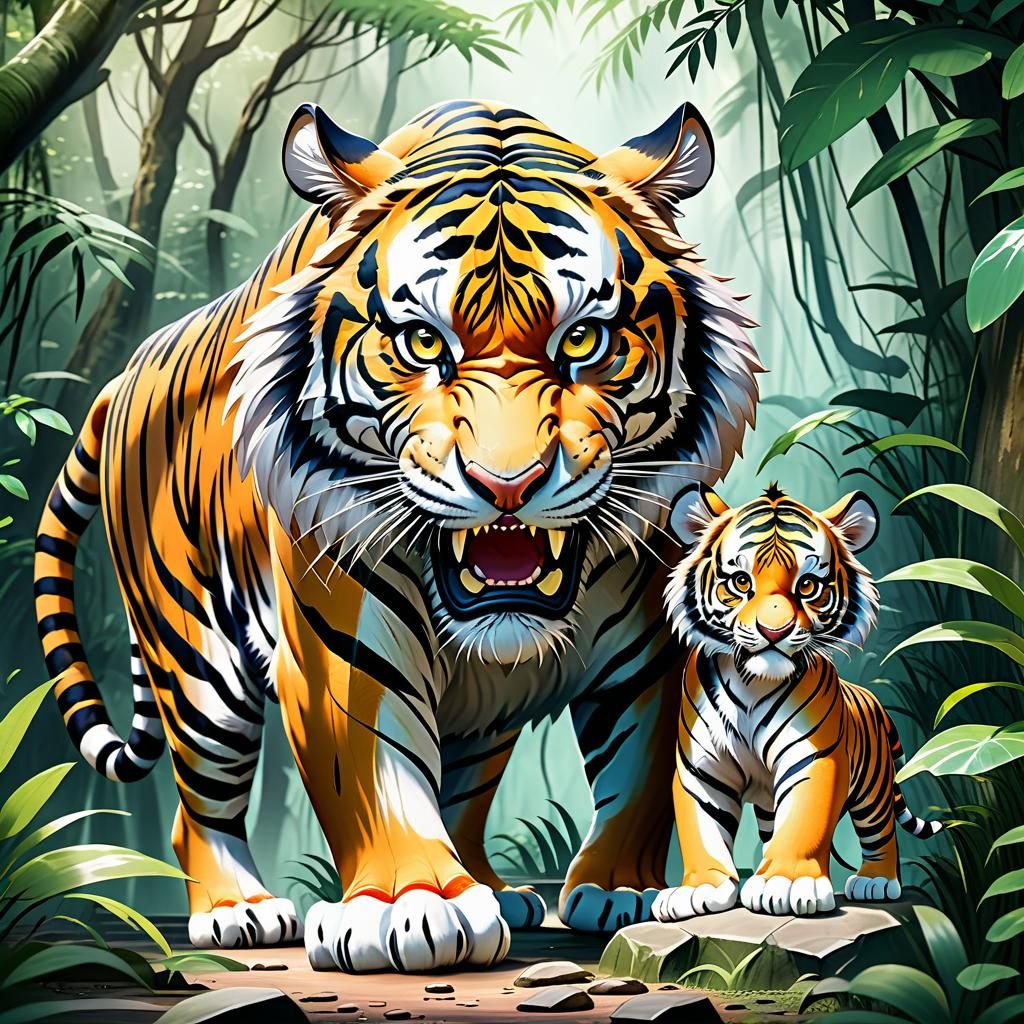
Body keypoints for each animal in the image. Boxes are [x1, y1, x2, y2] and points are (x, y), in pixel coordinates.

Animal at [34, 99, 761, 972]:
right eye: (422, 344)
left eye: (583, 340)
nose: (507, 485)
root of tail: (129, 369)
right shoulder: (341, 640)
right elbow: (370, 766)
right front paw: (409, 904)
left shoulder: (651, 644)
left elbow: (642, 767)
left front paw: (625, 888)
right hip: (195, 664)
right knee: (196, 804)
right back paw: (241, 909)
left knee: (466, 785)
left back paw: (495, 886)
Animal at [651, 484, 943, 920]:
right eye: (740, 581)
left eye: (807, 586)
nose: (774, 631)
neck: (753, 681)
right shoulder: (700, 767)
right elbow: (701, 827)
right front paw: (699, 889)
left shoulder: (815, 757)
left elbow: (805, 821)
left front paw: (785, 884)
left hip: (873, 790)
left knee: (882, 830)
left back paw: (876, 881)